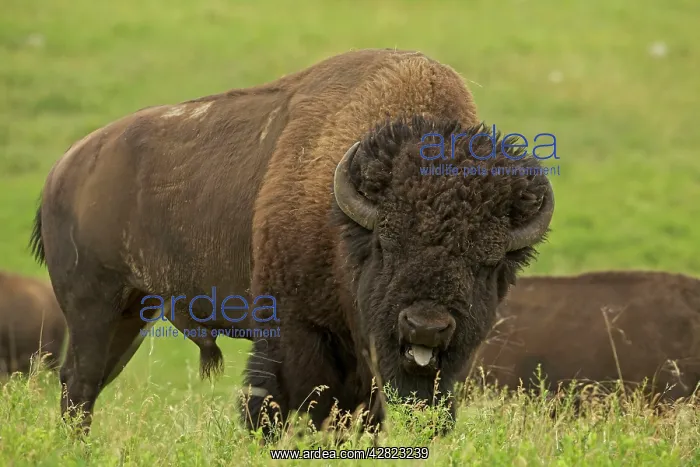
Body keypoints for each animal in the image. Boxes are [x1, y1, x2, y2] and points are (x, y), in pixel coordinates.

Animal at [29, 48, 555, 436]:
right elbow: (288, 405)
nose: (425, 327)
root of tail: (63, 170)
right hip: (94, 305)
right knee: (80, 382)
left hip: (133, 312)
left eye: (488, 262)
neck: (345, 227)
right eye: (385, 245)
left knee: (91, 382)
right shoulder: (295, 333)